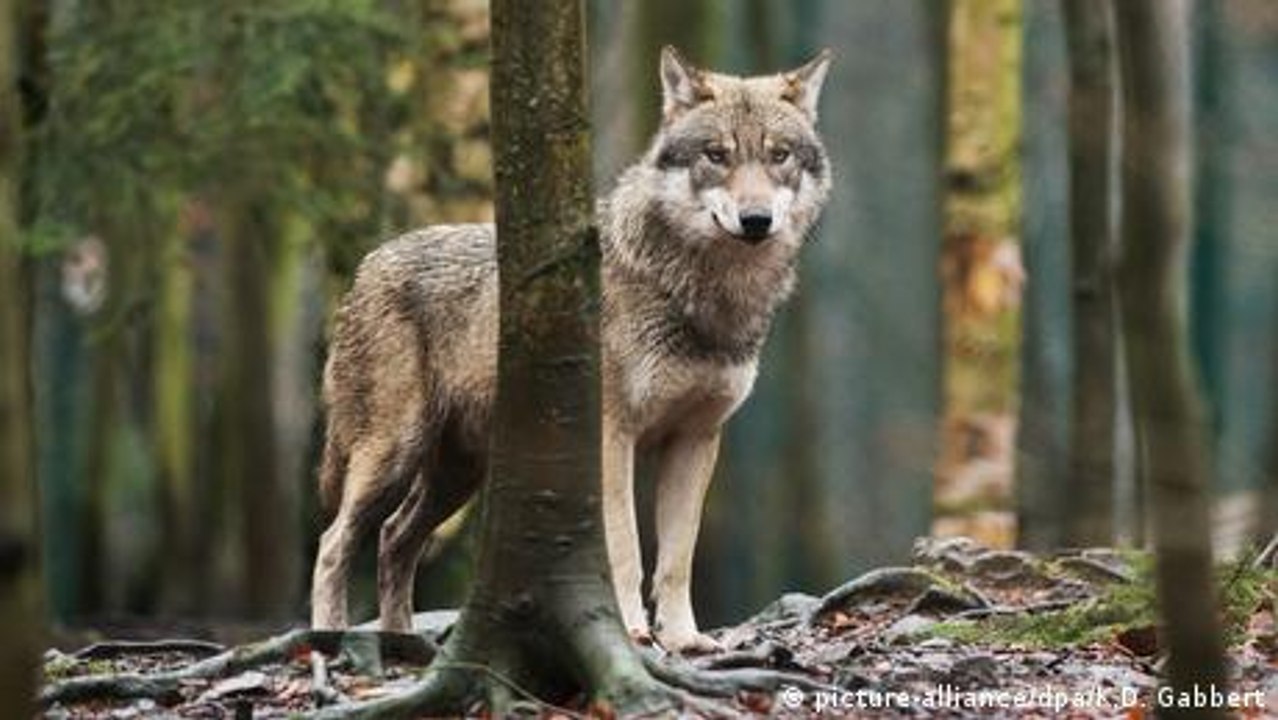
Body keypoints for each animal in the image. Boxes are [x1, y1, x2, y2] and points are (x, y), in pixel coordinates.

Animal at [310, 46, 832, 654]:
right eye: (716, 155)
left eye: (779, 156)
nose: (755, 220)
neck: (703, 295)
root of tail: (367, 264)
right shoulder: (611, 436)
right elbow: (626, 550)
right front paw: (631, 632)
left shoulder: (696, 439)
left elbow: (677, 559)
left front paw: (684, 640)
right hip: (393, 454)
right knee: (334, 542)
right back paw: (329, 639)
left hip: (458, 475)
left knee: (394, 539)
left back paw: (403, 644)